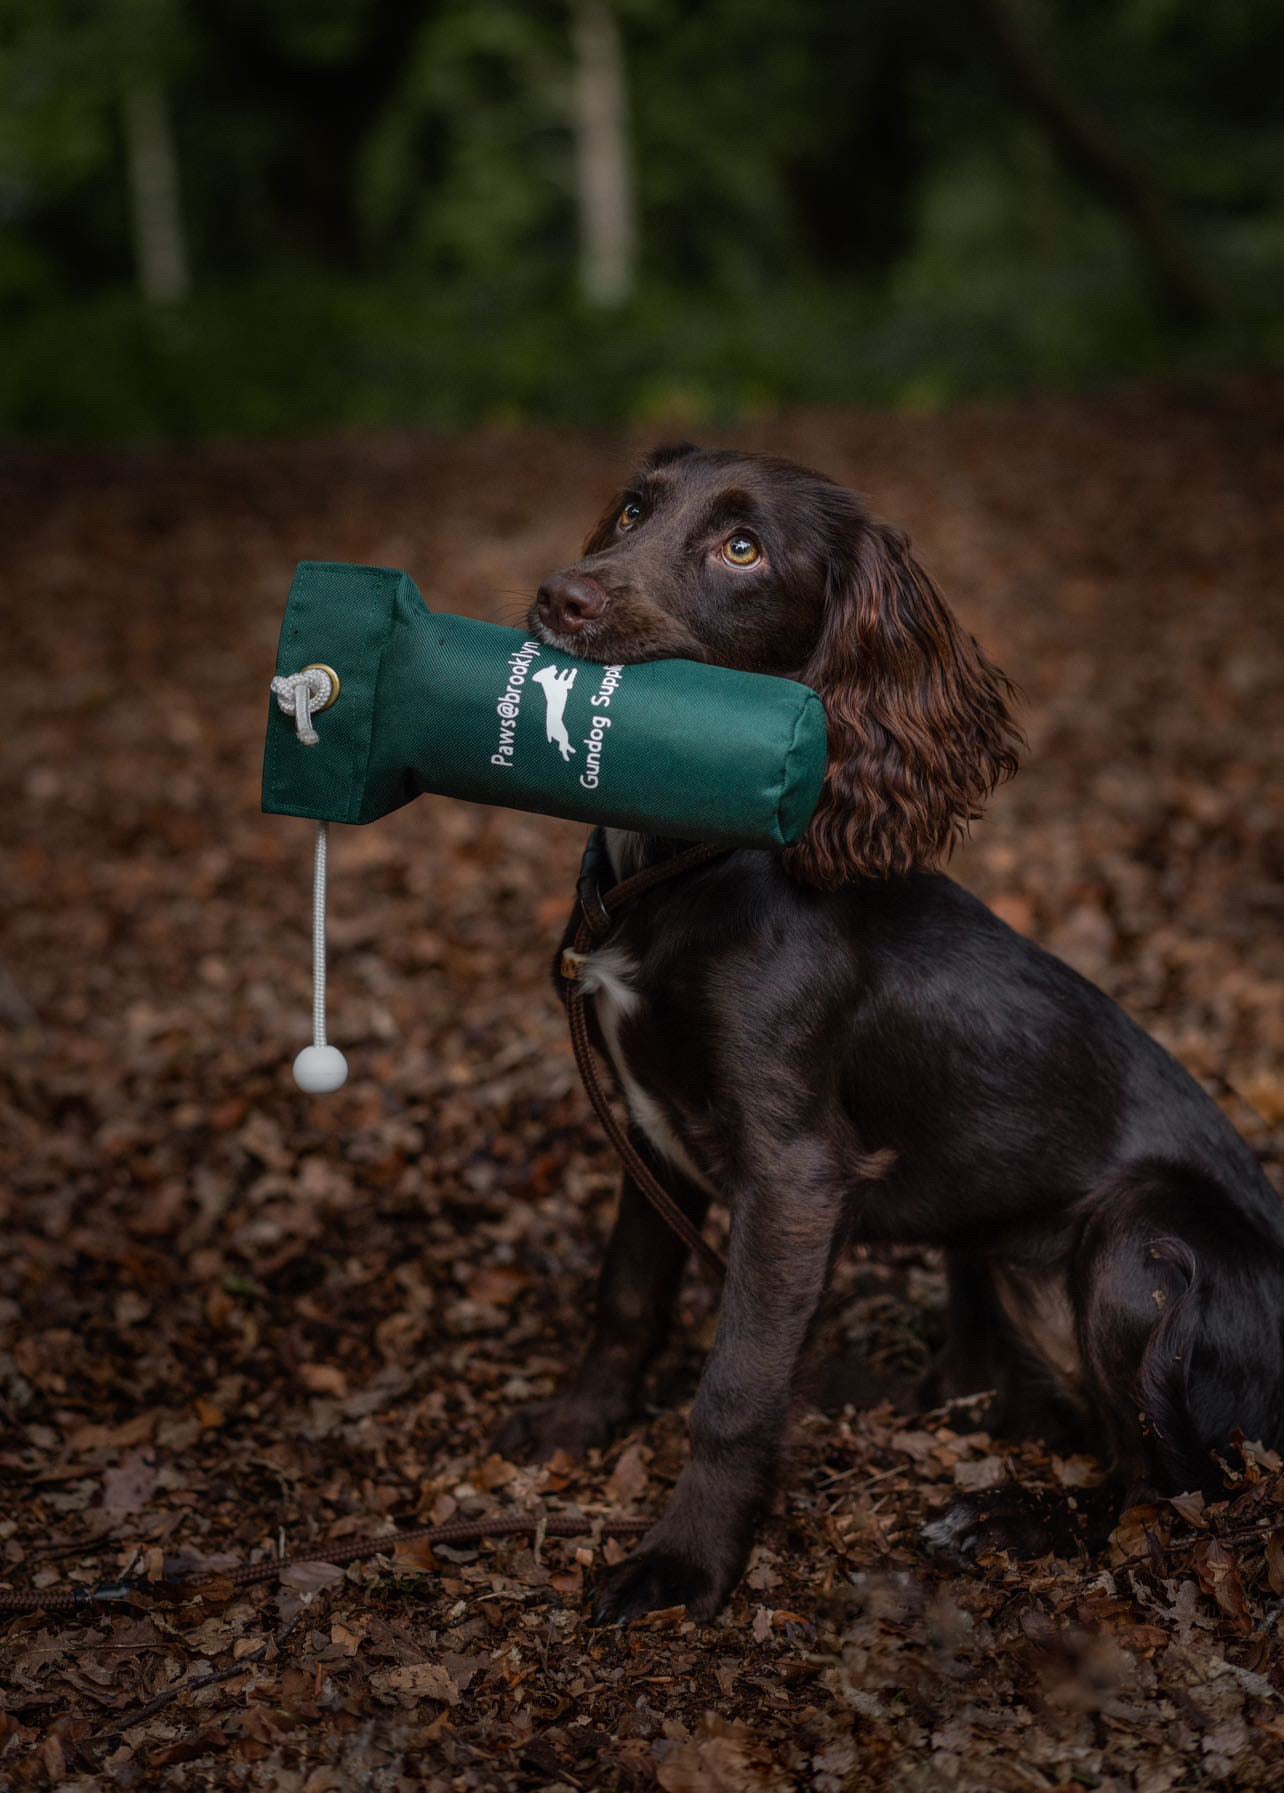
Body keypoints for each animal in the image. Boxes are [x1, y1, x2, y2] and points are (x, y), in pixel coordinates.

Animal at [493, 443, 1284, 1624]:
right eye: (632, 510)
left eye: (743, 548)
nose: (560, 599)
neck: (682, 872)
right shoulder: (647, 1132)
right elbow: (625, 1295)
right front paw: (573, 1426)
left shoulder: (794, 1174)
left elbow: (735, 1387)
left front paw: (685, 1562)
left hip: (1143, 1239)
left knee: (1170, 1484)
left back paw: (1008, 1519)